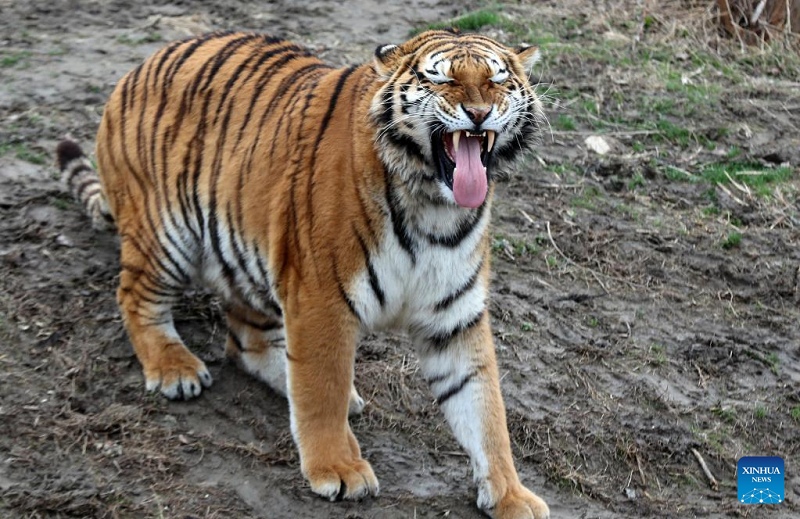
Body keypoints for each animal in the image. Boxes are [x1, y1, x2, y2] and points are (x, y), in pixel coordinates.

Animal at [57, 29, 552, 519]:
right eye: (442, 80)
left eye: (497, 80)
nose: (479, 113)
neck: (436, 209)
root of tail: (137, 68)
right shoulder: (321, 298)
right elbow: (321, 387)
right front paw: (338, 468)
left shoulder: (456, 318)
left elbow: (485, 410)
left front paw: (511, 495)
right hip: (165, 234)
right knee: (134, 297)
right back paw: (174, 369)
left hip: (253, 257)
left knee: (248, 345)